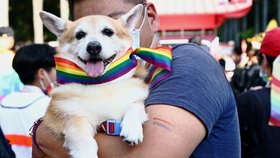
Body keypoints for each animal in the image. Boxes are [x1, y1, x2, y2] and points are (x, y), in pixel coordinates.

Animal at [40, 4, 149, 157]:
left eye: (108, 32)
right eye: (79, 35)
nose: (93, 47)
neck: (101, 83)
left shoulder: (136, 100)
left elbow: (134, 107)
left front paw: (132, 129)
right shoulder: (70, 117)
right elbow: (83, 139)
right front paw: (87, 153)